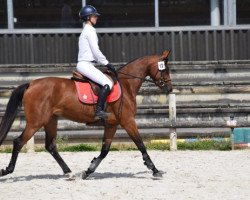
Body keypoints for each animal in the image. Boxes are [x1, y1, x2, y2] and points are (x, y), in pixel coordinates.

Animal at [0, 50, 172, 179]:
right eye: (164, 69)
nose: (170, 88)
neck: (126, 85)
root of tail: (31, 84)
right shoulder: (128, 121)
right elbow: (141, 144)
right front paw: (155, 170)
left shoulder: (112, 124)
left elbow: (104, 150)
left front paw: (88, 170)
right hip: (36, 122)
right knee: (18, 142)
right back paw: (7, 170)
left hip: (50, 120)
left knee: (50, 146)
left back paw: (69, 173)